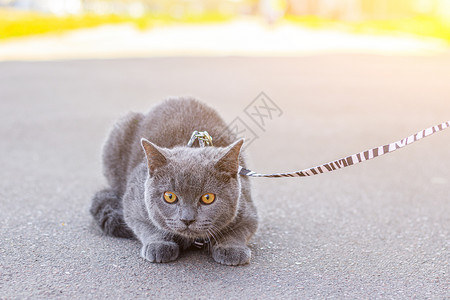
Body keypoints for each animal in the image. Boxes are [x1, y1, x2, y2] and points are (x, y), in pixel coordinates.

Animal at [89, 98, 258, 264]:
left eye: (208, 198)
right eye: (169, 197)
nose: (187, 219)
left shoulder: (248, 210)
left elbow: (240, 231)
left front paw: (232, 249)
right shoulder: (133, 204)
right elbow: (147, 225)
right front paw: (159, 245)